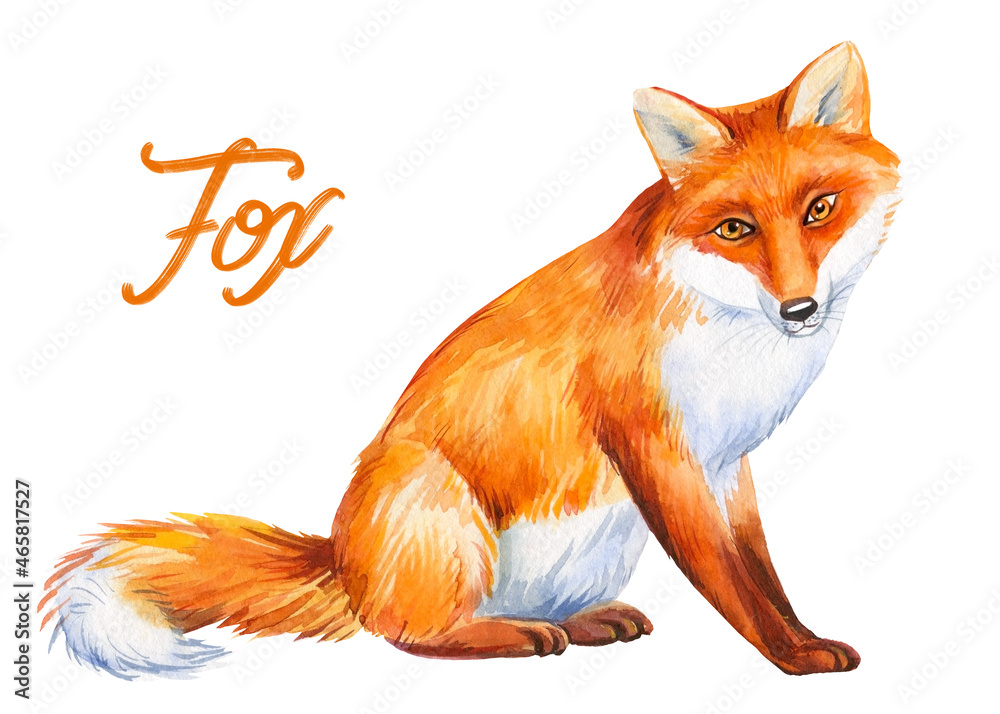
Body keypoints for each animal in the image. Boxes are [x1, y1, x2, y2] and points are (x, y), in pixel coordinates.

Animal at [42, 41, 901, 679]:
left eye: (819, 210)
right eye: (735, 229)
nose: (800, 309)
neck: (730, 337)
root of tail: (344, 563)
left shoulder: (727, 463)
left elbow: (761, 572)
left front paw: (804, 638)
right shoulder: (658, 450)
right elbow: (732, 584)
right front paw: (791, 658)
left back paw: (583, 623)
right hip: (440, 507)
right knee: (404, 633)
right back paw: (508, 637)